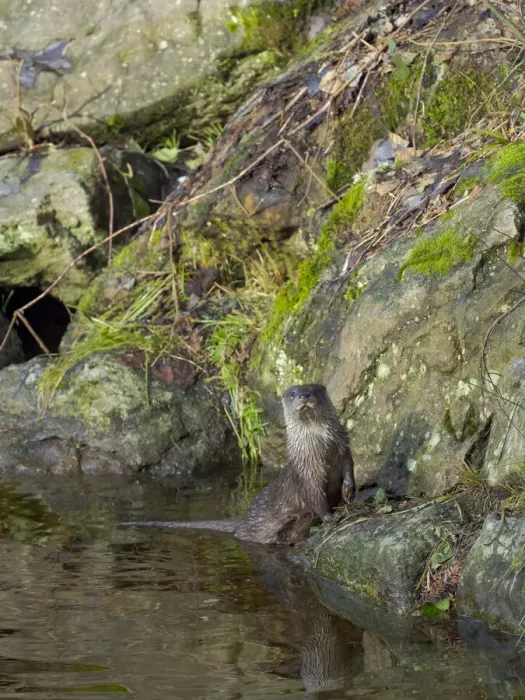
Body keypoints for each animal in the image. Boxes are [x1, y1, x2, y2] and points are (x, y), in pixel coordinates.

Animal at [123, 384, 355, 545]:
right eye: (292, 393)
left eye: (314, 390)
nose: (304, 396)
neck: (322, 450)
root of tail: (243, 519)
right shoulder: (307, 472)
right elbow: (316, 498)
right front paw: (330, 516)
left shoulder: (343, 448)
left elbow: (349, 468)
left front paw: (348, 492)